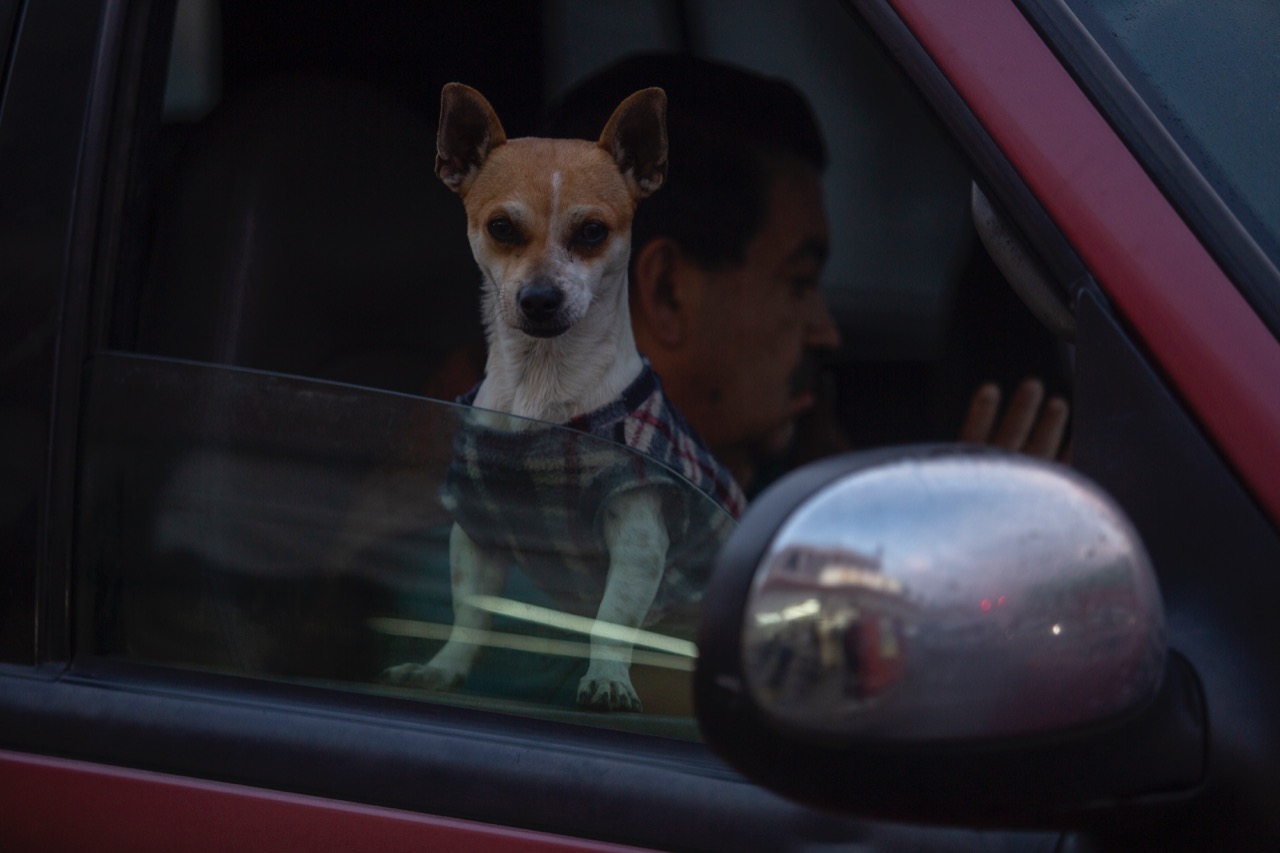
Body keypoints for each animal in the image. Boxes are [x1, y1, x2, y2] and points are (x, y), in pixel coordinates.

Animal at [381, 83, 742, 706]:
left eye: (592, 231)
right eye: (501, 227)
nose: (541, 298)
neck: (540, 388)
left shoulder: (639, 536)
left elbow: (612, 617)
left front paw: (607, 678)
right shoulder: (476, 529)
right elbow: (469, 613)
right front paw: (444, 667)